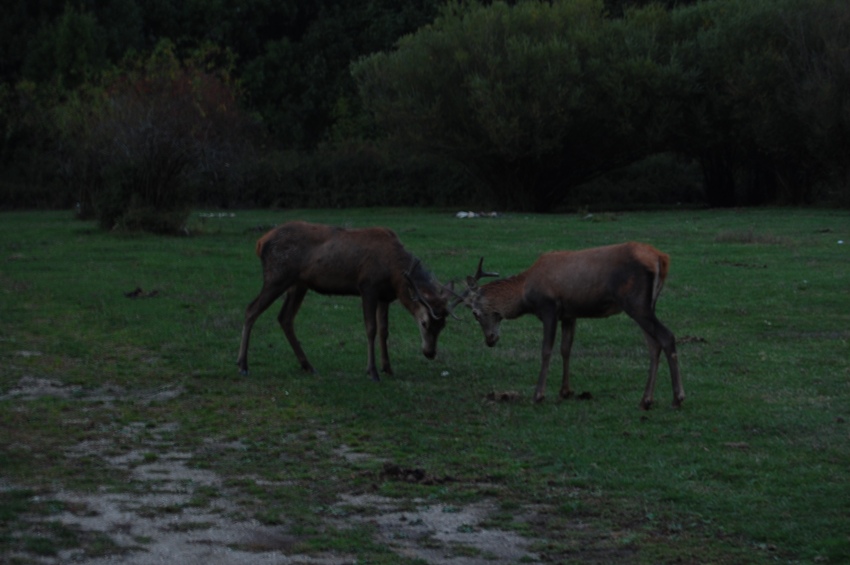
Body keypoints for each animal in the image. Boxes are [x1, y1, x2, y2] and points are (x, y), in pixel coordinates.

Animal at [235, 220, 454, 378]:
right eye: (424, 322)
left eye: (443, 325)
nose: (430, 352)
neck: (395, 276)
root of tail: (260, 243)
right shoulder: (368, 286)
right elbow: (371, 329)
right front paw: (372, 371)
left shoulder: (385, 296)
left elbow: (384, 331)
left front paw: (388, 368)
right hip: (277, 277)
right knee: (251, 309)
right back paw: (243, 364)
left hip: (298, 284)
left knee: (285, 318)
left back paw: (308, 365)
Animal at [458, 240, 684, 408]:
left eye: (475, 313)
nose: (490, 340)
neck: (525, 294)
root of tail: (661, 258)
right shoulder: (569, 314)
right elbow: (566, 348)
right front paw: (565, 391)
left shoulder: (549, 308)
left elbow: (546, 350)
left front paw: (538, 394)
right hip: (645, 304)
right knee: (653, 344)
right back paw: (646, 399)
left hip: (635, 302)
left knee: (667, 336)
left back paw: (677, 397)